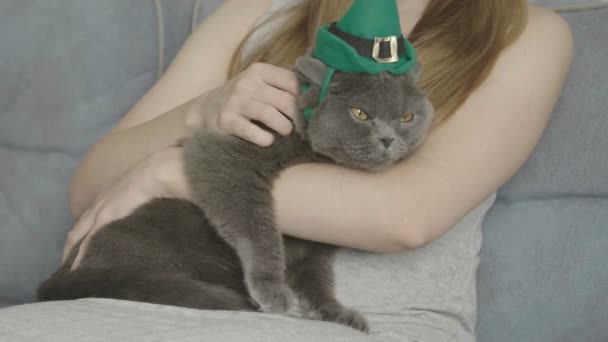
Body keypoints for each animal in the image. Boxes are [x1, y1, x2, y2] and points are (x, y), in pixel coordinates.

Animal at [36, 55, 432, 332]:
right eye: (360, 113)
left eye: (407, 118)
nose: (388, 139)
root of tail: (60, 277)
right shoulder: (227, 150)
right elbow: (256, 224)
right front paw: (270, 287)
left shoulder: (316, 247)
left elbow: (317, 278)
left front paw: (335, 313)